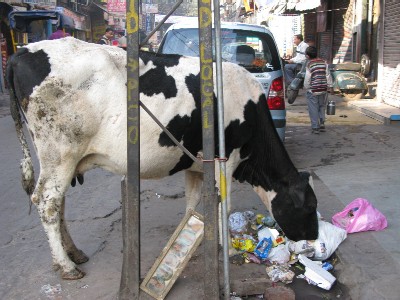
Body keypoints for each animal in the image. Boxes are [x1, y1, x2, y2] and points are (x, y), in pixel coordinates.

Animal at [7, 37, 318, 278]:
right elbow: (224, 206)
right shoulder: (226, 159)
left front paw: (189, 237)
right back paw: (66, 266)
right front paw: (228, 249)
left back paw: (74, 253)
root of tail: (23, 51)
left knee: (58, 204)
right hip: (60, 153)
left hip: (59, 159)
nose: (313, 240)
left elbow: (192, 203)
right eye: (310, 207)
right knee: (47, 202)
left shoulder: (196, 164)